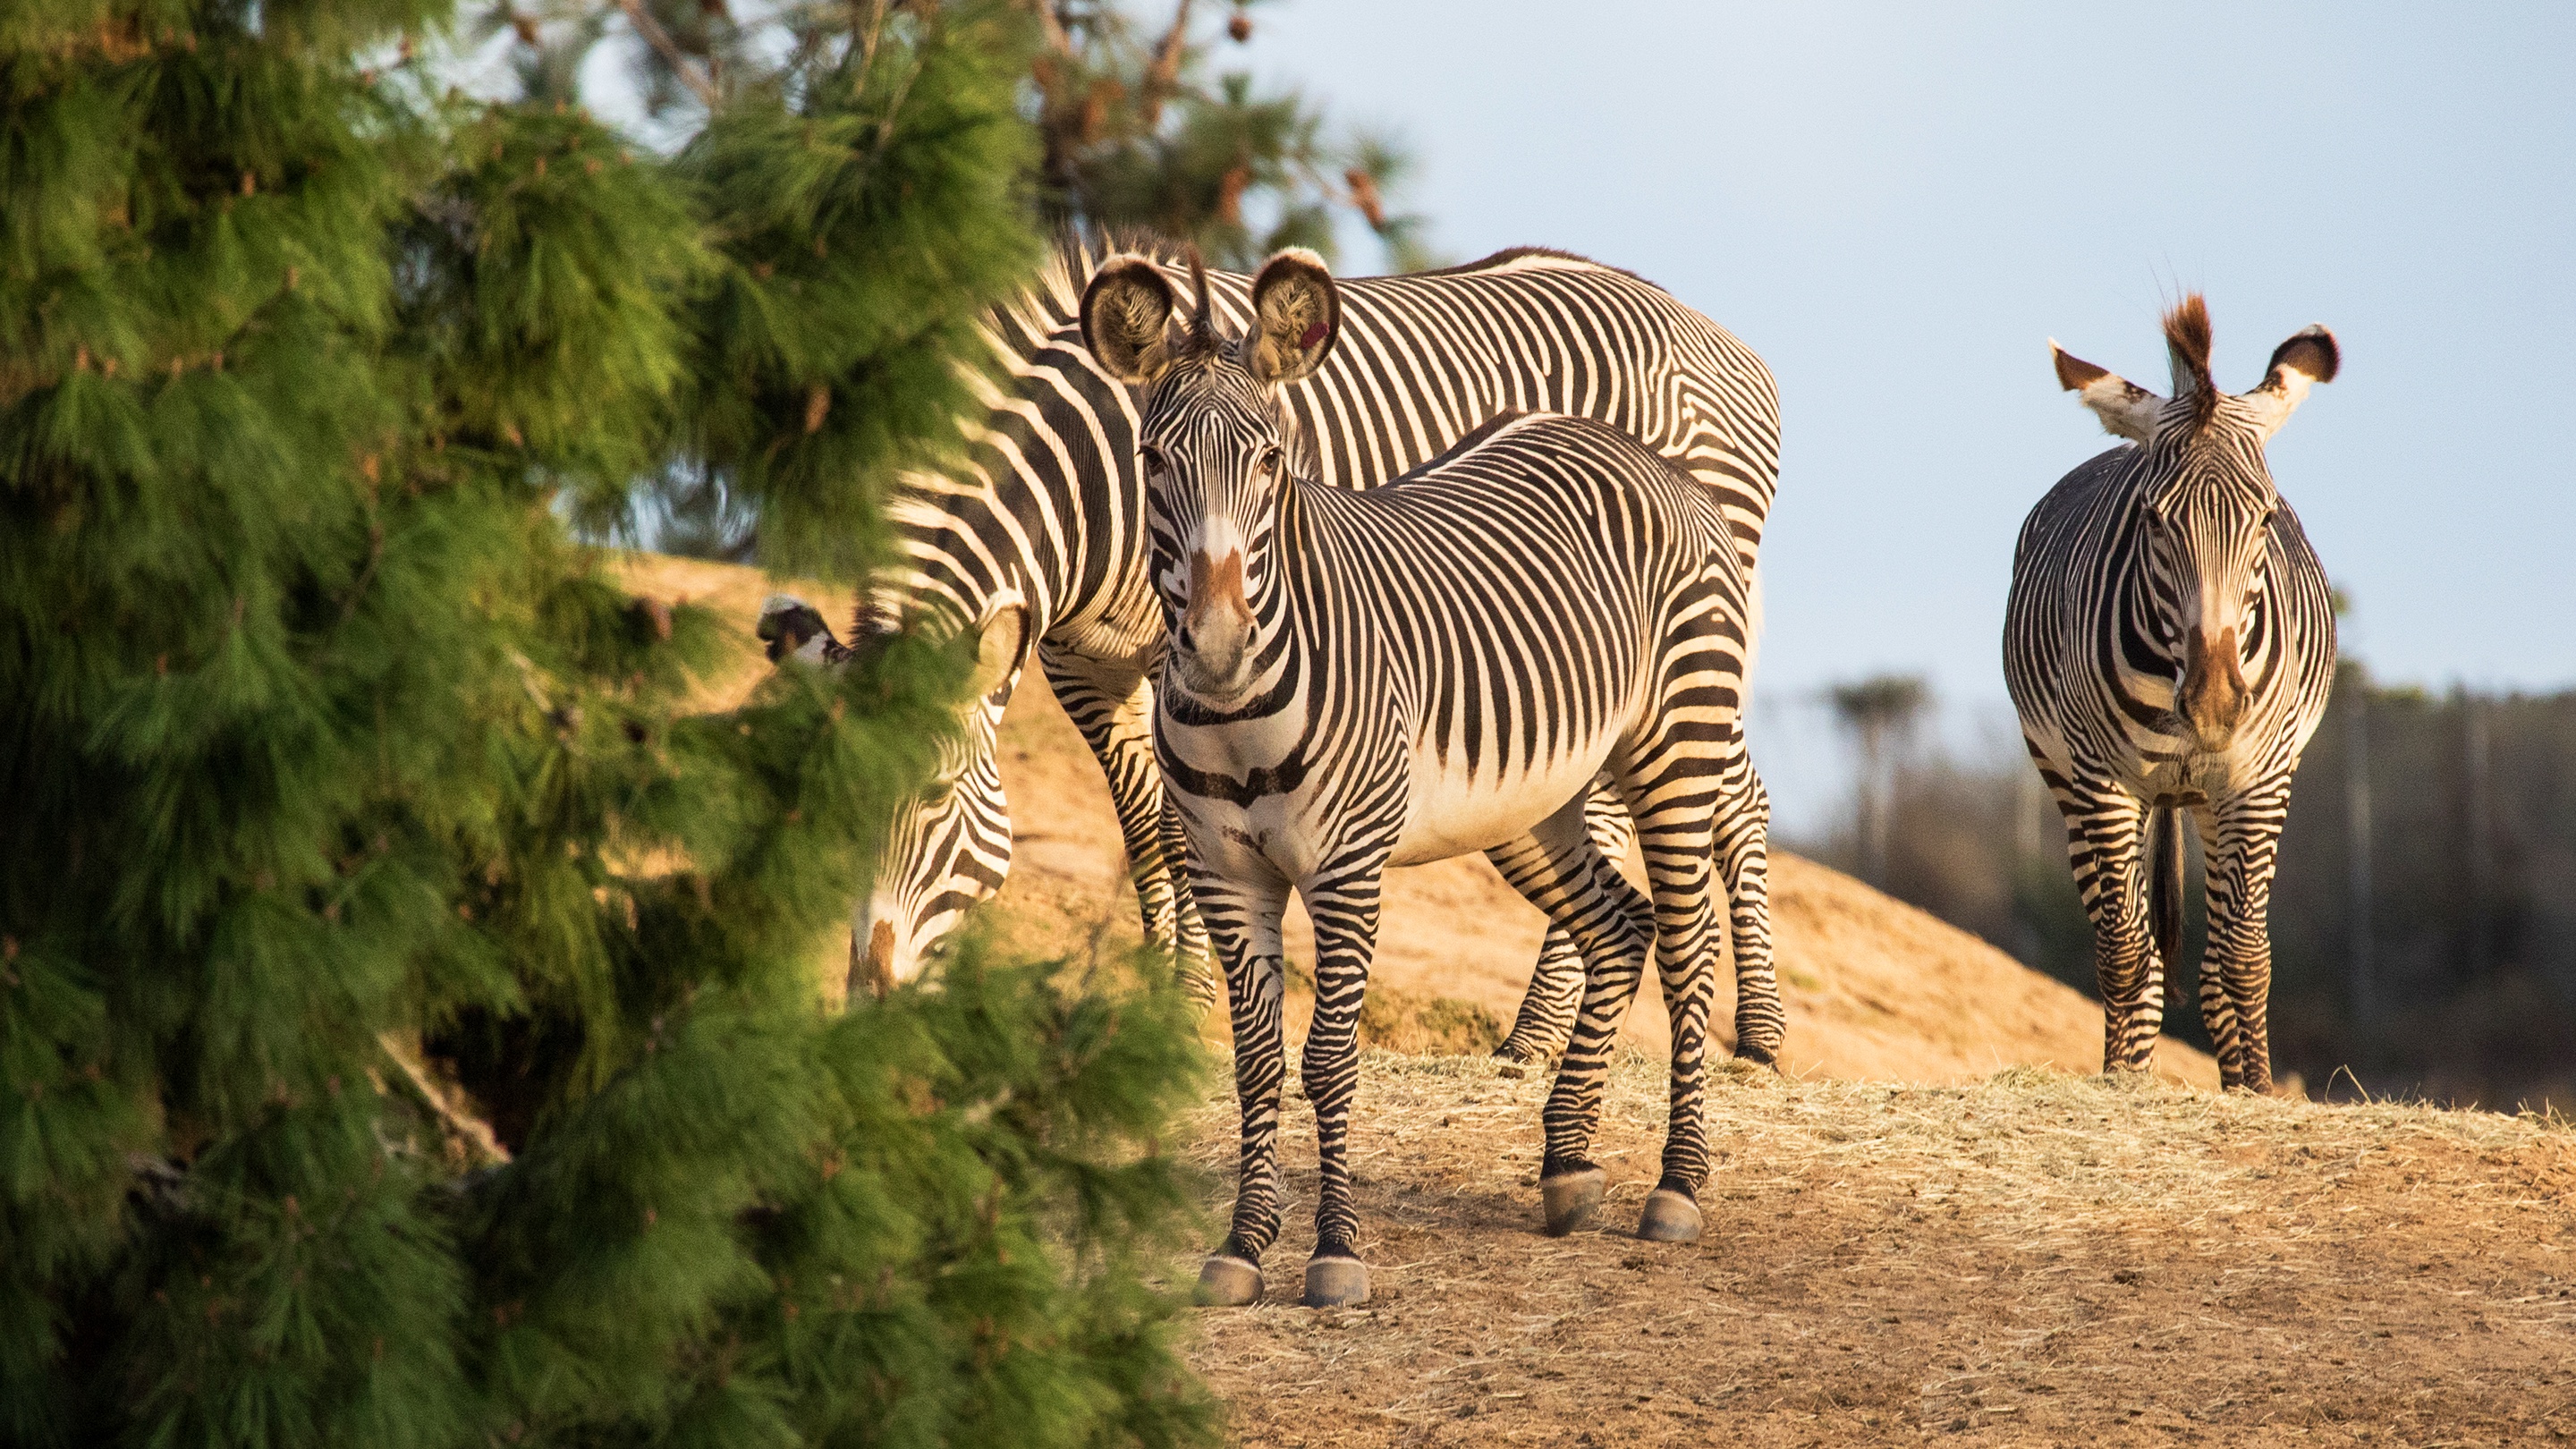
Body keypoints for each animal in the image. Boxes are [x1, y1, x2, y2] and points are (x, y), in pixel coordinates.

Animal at [844, 228, 1792, 1062]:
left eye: (935, 799)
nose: (868, 1000)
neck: (1084, 476)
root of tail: (1719, 334)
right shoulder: (1081, 664)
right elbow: (1145, 828)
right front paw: (1158, 996)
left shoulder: (1185, 659)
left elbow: (1178, 833)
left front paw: (1186, 1008)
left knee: (1700, 800)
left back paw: (1702, 1036)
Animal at [1072, 253, 1772, 1304]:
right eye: (1153, 462)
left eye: (1271, 461)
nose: (1218, 645)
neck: (1238, 716)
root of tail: (1640, 451)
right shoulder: (1225, 874)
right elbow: (1255, 1063)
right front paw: (1243, 1246)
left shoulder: (1346, 870)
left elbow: (1327, 1060)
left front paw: (1334, 1252)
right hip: (1535, 803)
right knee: (1622, 925)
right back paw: (1567, 1165)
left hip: (1675, 744)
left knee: (1688, 949)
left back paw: (1677, 1187)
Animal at [1998, 293, 2349, 1088]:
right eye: (2154, 519)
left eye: (2266, 517)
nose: (2215, 704)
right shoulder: (2101, 781)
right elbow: (2127, 957)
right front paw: (2122, 1086)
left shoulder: (2257, 779)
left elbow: (2245, 961)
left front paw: (2257, 1093)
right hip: (2068, 781)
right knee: (2136, 951)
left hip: (2217, 803)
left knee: (2218, 962)